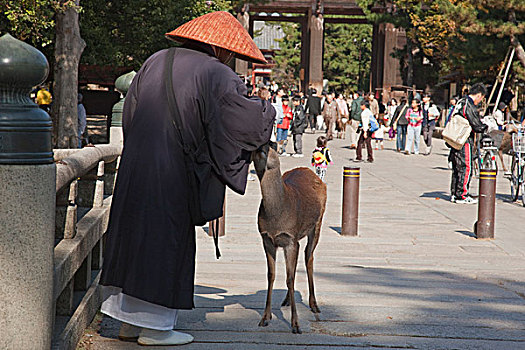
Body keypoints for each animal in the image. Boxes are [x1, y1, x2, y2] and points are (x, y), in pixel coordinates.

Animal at [252, 143, 326, 334]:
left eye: (269, 144)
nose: (260, 147)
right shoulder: (267, 239)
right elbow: (272, 275)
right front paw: (265, 318)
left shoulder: (290, 239)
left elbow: (290, 277)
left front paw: (296, 324)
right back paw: (286, 300)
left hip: (317, 223)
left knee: (309, 257)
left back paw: (314, 305)